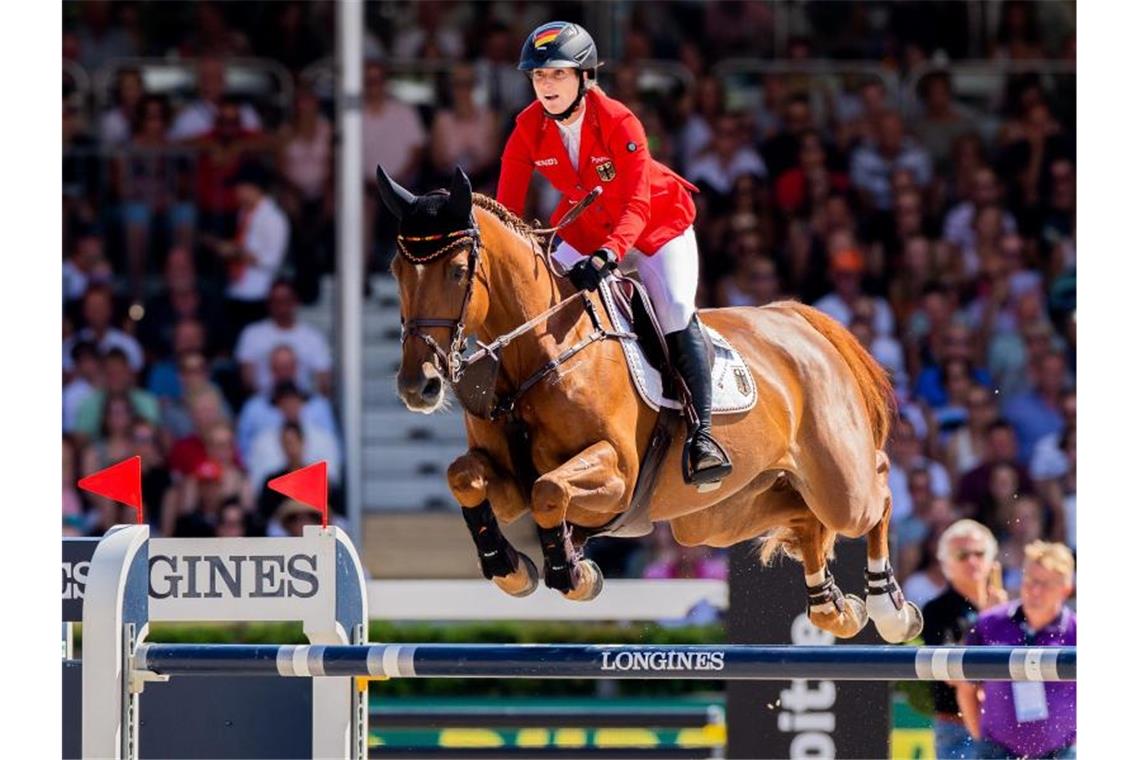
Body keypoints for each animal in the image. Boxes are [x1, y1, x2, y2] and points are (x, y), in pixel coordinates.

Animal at [383, 169, 925, 647]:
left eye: (457, 272)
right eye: (396, 271)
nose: (418, 385)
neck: (539, 350)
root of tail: (796, 320)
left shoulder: (618, 473)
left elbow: (549, 490)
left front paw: (572, 572)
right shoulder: (508, 478)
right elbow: (465, 478)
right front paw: (509, 567)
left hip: (838, 483)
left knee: (876, 490)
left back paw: (889, 610)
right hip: (717, 515)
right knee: (801, 516)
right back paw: (832, 607)